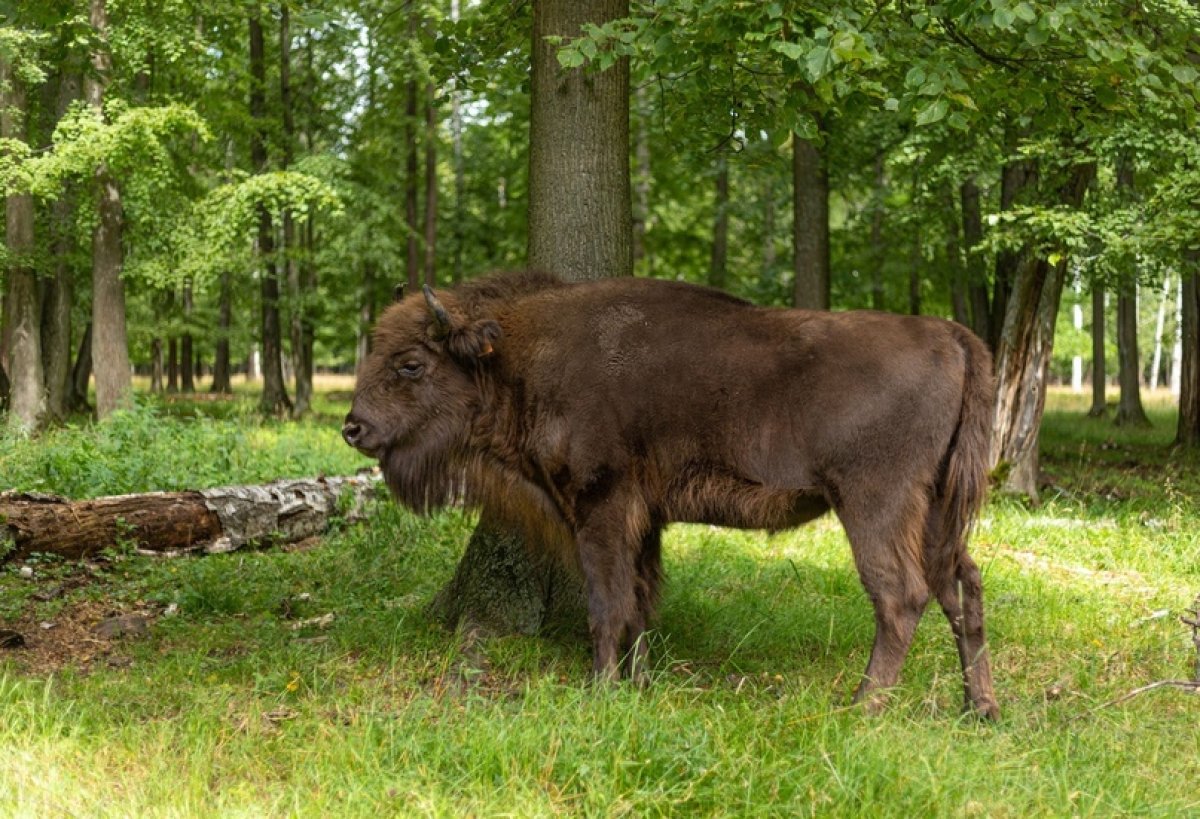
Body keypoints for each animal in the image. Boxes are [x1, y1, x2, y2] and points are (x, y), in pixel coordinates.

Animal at [348, 268, 1003, 715]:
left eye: (411, 363)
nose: (353, 427)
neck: (518, 354)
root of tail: (951, 335)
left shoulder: (602, 507)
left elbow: (607, 604)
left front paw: (601, 691)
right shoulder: (645, 519)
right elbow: (640, 600)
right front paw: (637, 684)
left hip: (875, 503)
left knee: (901, 595)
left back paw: (860, 707)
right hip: (938, 508)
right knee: (961, 587)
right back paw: (979, 709)